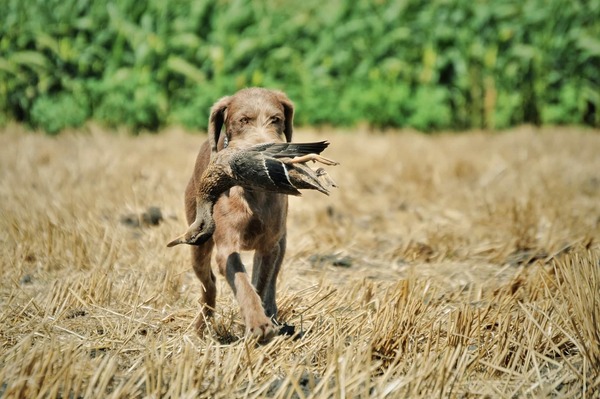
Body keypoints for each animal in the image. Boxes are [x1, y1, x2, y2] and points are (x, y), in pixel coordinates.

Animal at [183, 87, 296, 340]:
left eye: (276, 119)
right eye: (243, 120)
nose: (267, 153)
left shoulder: (269, 245)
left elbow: (260, 282)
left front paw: (263, 318)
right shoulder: (226, 246)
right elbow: (242, 281)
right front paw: (258, 323)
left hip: (282, 242)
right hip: (198, 239)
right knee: (209, 284)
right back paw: (201, 326)